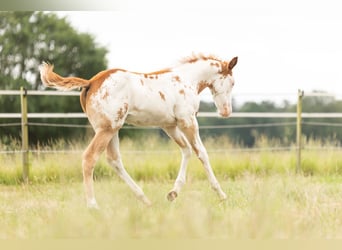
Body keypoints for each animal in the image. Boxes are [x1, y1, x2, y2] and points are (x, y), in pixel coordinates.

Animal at [40, 54, 238, 209]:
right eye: (232, 82)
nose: (226, 112)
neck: (186, 80)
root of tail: (91, 82)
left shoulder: (169, 126)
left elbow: (186, 150)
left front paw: (173, 193)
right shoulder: (188, 121)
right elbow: (201, 153)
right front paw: (221, 195)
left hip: (112, 129)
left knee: (114, 160)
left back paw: (145, 199)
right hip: (107, 129)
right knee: (90, 157)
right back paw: (93, 205)